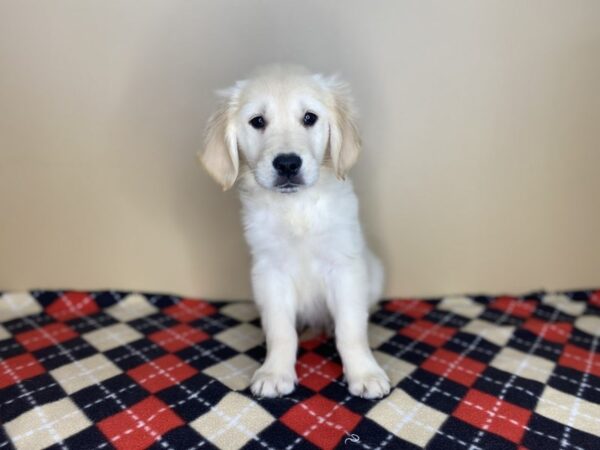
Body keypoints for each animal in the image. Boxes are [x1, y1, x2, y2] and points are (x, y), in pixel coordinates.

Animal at [199, 65, 392, 400]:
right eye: (257, 121)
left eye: (309, 118)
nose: (287, 163)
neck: (296, 209)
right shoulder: (269, 272)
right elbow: (280, 331)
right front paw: (275, 372)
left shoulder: (345, 267)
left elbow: (351, 329)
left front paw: (364, 373)